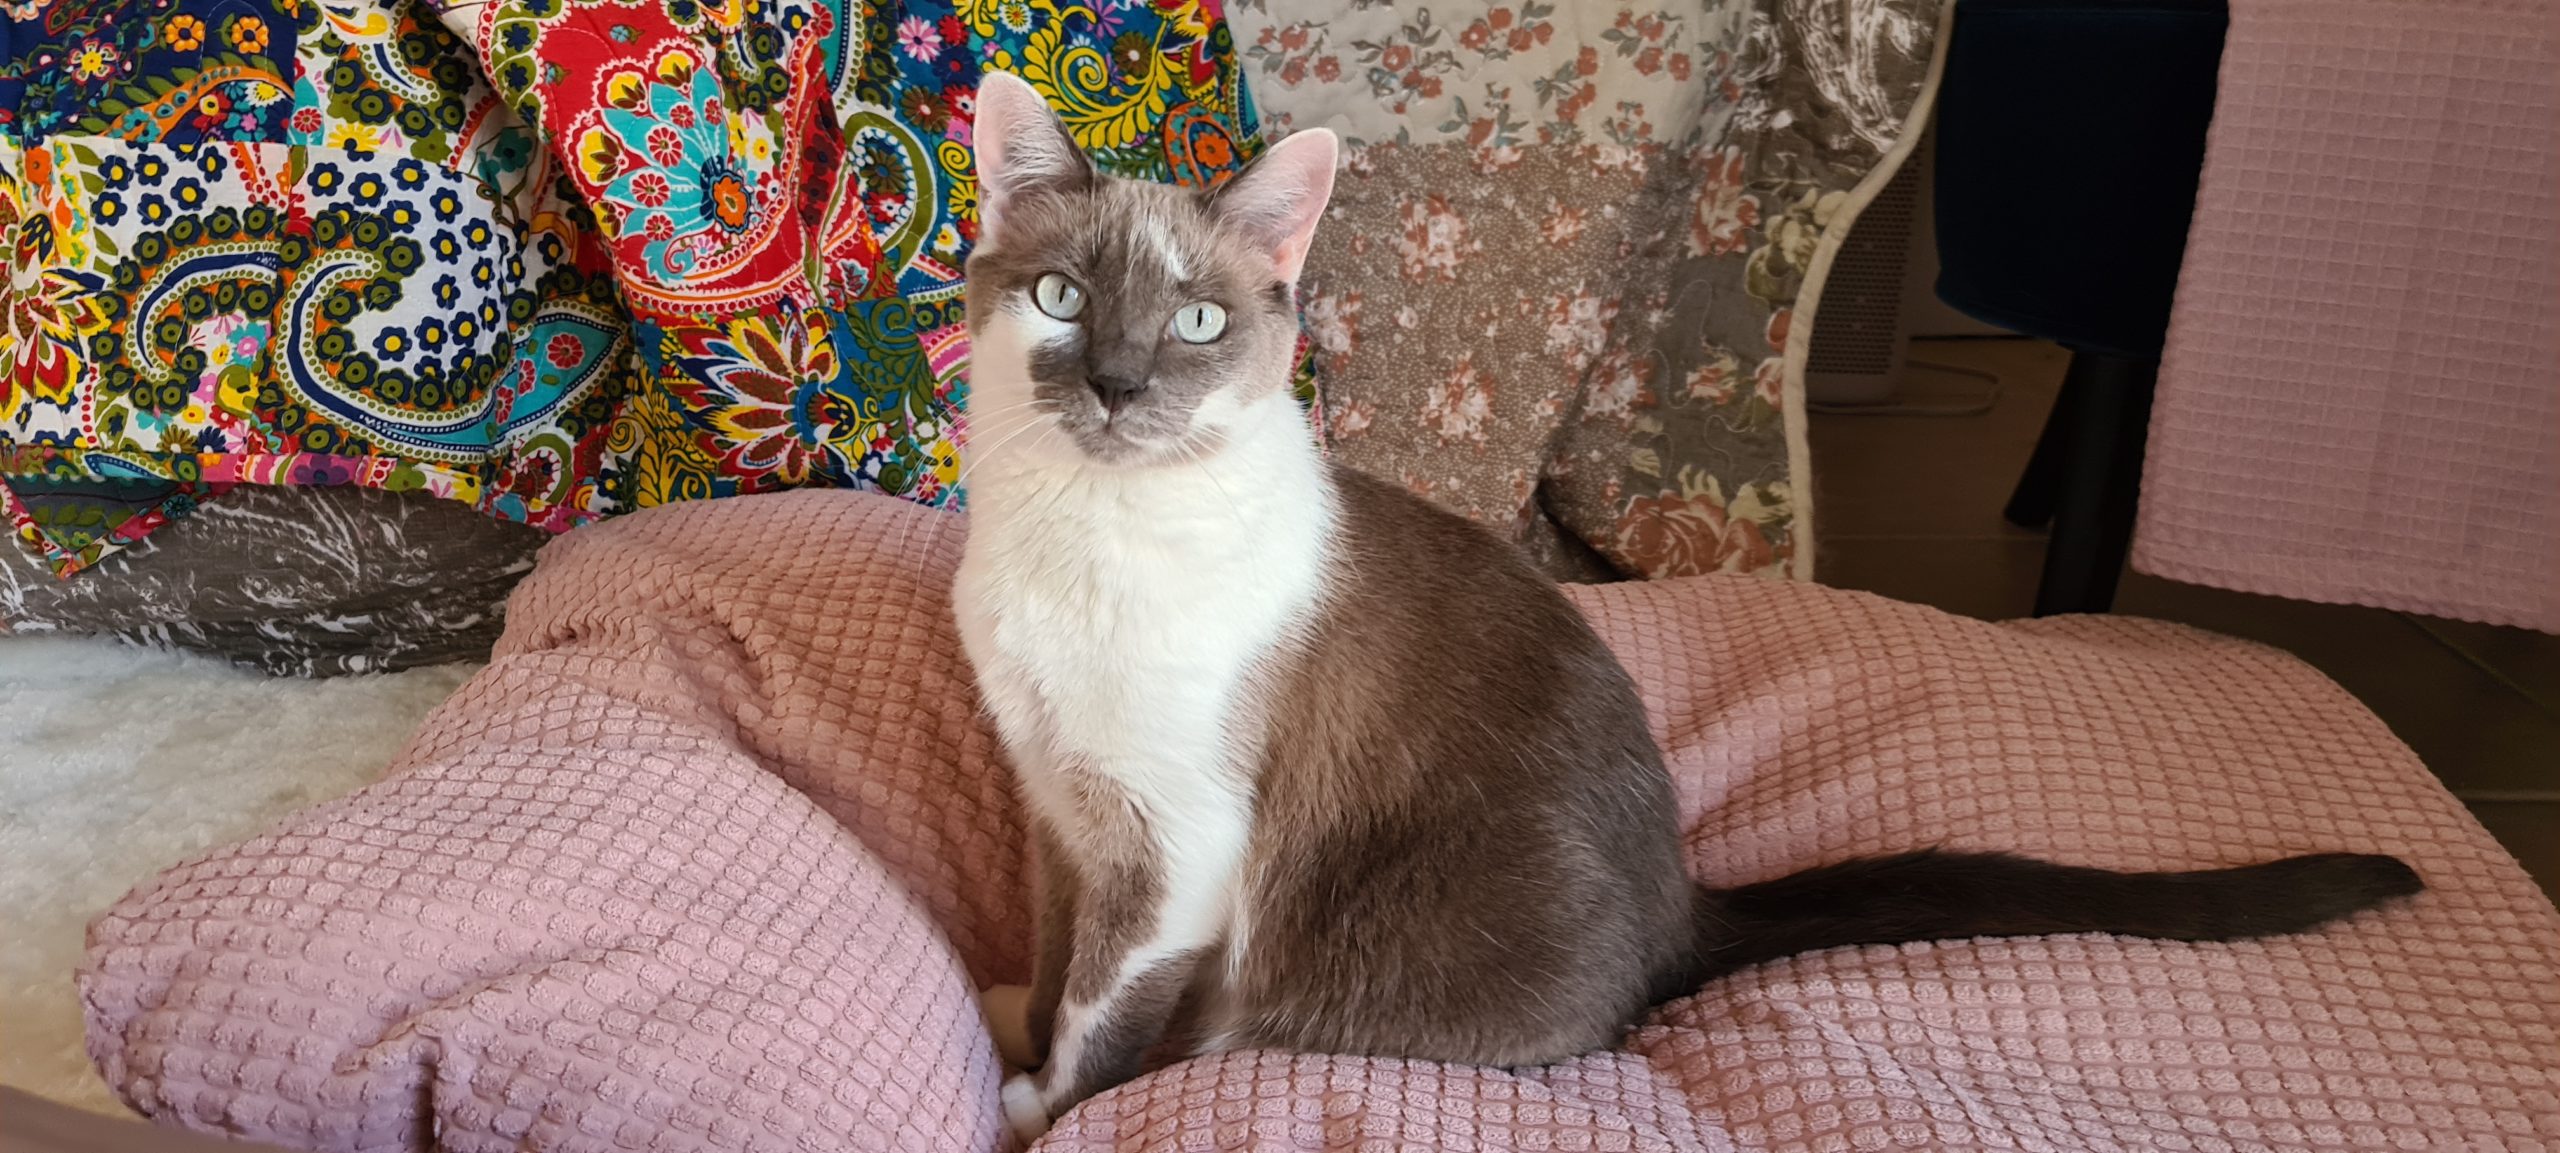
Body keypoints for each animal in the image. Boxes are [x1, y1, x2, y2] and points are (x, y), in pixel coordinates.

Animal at [947, 74, 2416, 1142]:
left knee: (1261, 1021)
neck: (1081, 535)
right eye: (1064, 299)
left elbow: (1108, 1014)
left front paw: (1038, 1104)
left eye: (1194, 322)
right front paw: (1013, 1016)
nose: (1121, 386)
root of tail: (1683, 904)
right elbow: (1062, 956)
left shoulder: (1175, 843)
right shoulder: (1058, 808)